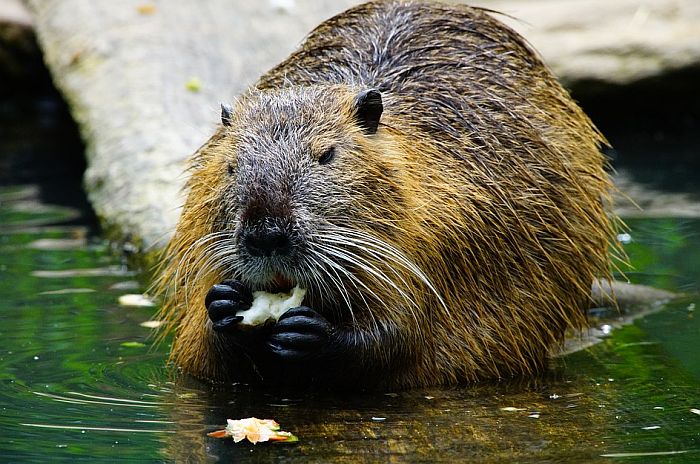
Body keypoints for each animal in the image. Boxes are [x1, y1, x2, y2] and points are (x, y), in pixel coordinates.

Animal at [154, 0, 616, 390]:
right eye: (231, 164)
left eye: (327, 154)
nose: (265, 235)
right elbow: (199, 356)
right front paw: (223, 304)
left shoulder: (445, 232)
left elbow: (404, 334)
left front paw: (310, 332)